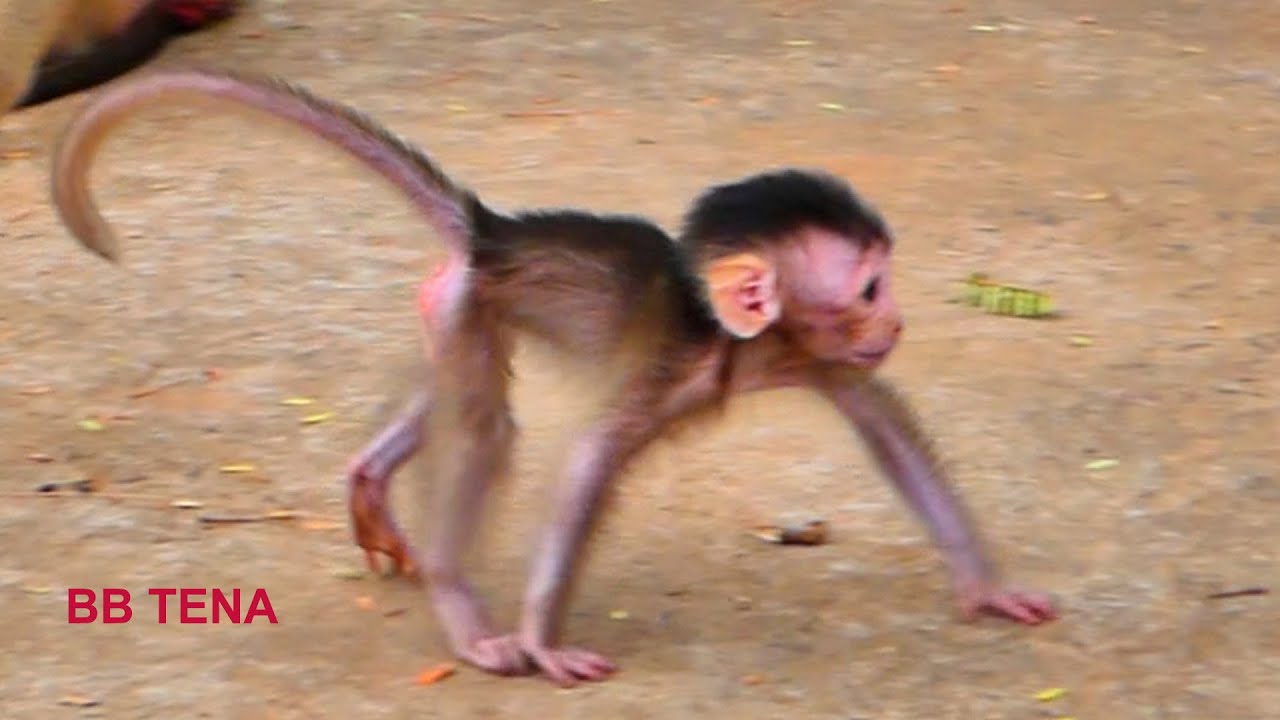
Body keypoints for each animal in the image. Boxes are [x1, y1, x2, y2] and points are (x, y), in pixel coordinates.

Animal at [49, 68, 1058, 688]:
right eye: (871, 287)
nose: (896, 320)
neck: (735, 338)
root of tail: (490, 231)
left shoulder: (814, 354)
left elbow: (879, 417)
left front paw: (985, 588)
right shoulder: (674, 369)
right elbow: (587, 464)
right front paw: (544, 642)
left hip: (455, 309)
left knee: (456, 402)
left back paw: (370, 482)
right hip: (469, 305)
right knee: (488, 433)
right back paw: (464, 609)